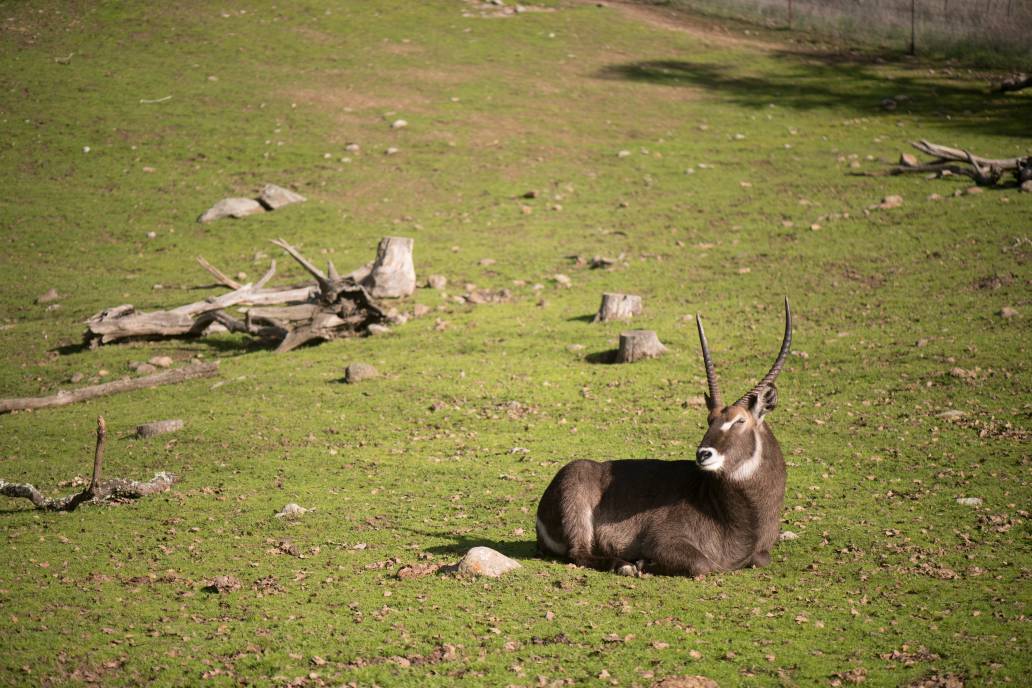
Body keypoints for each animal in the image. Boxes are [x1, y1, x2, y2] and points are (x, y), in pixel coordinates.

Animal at [536, 299, 792, 577]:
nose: (703, 454)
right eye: (709, 419)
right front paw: (644, 562)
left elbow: (761, 558)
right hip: (577, 491)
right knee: (579, 553)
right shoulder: (663, 540)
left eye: (740, 420)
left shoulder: (760, 552)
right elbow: (703, 564)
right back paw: (624, 565)